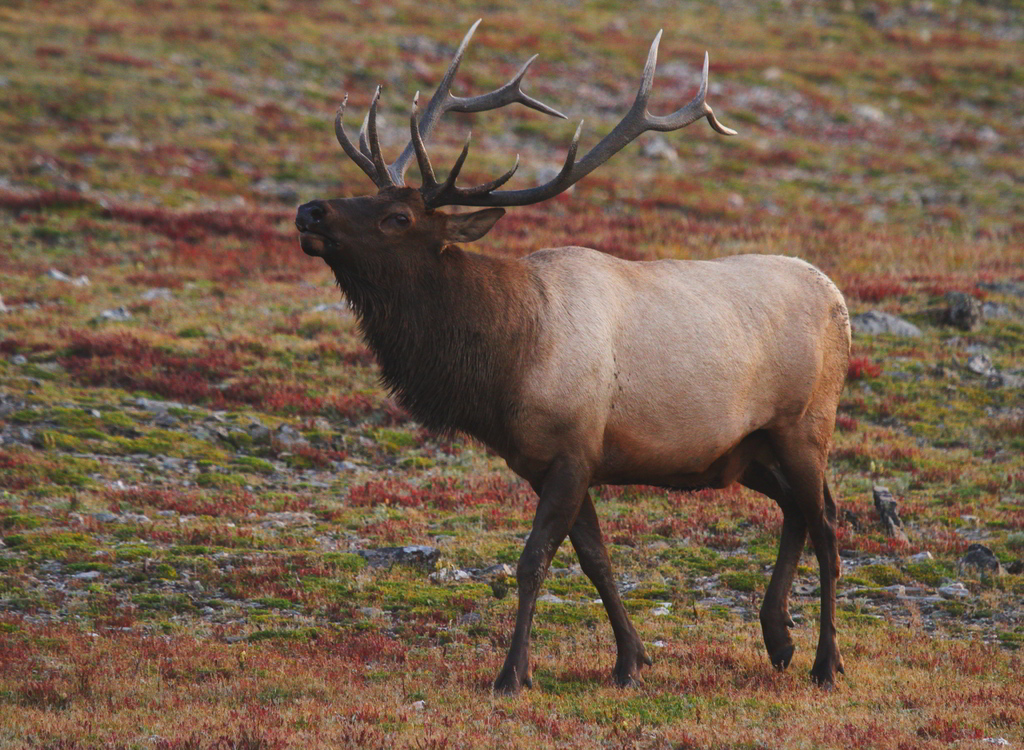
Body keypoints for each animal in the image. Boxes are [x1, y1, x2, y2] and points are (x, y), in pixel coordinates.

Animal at [295, 21, 849, 693]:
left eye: (398, 216)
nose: (309, 209)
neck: (506, 365)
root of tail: (837, 296)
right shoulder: (547, 462)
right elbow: (596, 560)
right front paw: (630, 661)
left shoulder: (573, 450)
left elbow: (533, 562)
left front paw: (512, 674)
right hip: (747, 449)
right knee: (798, 511)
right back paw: (778, 638)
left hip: (805, 424)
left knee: (827, 524)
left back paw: (826, 660)